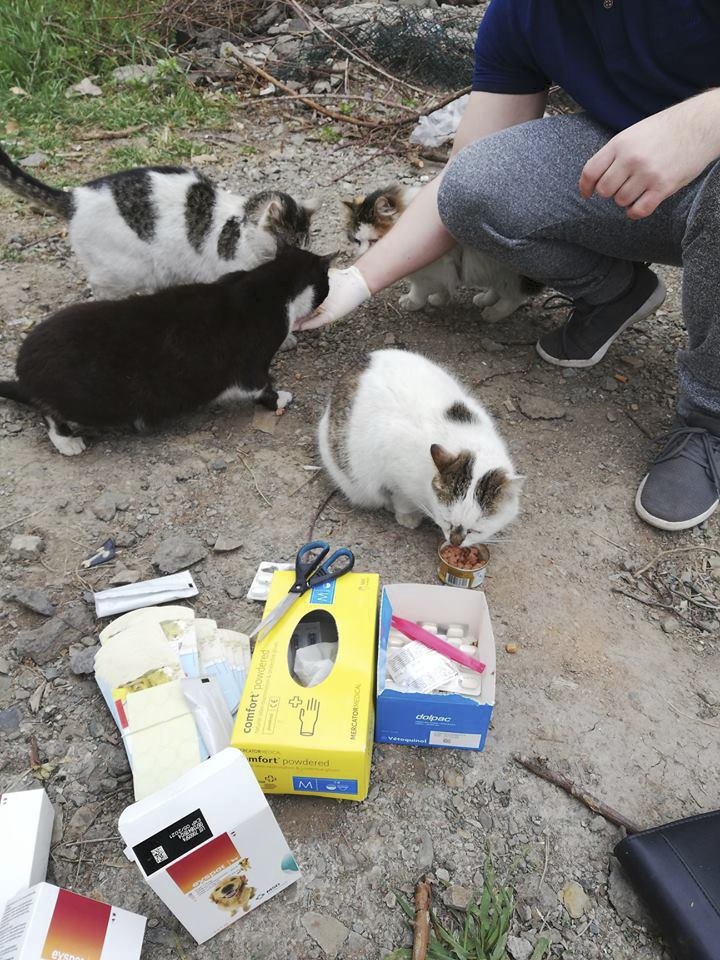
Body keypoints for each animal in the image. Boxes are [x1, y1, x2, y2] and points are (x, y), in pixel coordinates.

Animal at [0, 248, 332, 458]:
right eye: (326, 283)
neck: (269, 284)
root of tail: (24, 367)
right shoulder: (252, 364)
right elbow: (262, 387)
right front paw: (280, 398)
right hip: (87, 400)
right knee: (49, 412)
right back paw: (66, 441)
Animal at [320, 350, 524, 548]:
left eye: (475, 531)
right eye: (447, 521)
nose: (455, 542)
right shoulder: (393, 473)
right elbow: (402, 498)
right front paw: (407, 516)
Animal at [344, 184, 540, 322]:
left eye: (373, 241)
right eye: (357, 241)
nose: (361, 255)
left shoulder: (430, 271)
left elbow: (419, 291)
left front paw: (412, 302)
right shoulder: (444, 271)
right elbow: (443, 287)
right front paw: (439, 299)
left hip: (510, 274)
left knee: (514, 297)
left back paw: (493, 313)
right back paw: (484, 299)